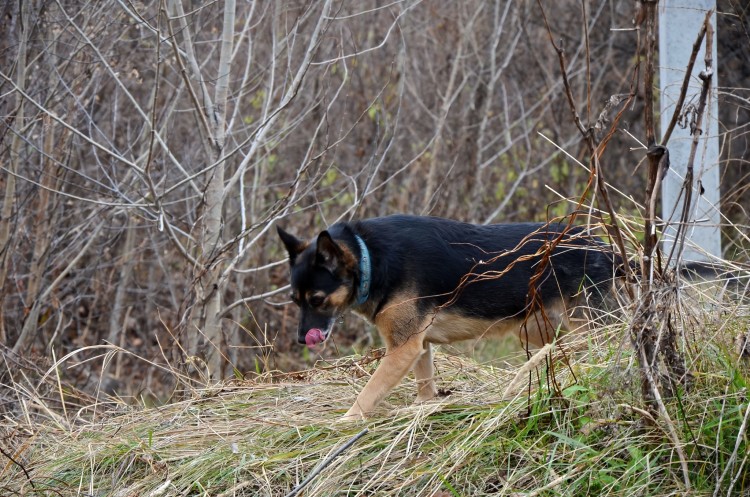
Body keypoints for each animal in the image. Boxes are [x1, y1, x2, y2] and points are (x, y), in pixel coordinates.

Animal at [276, 214, 616, 418]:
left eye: (317, 300)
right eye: (295, 300)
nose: (301, 339)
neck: (370, 259)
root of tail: (606, 249)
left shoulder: (402, 349)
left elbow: (367, 394)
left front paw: (345, 421)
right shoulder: (418, 346)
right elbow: (424, 385)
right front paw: (424, 409)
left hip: (586, 327)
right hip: (537, 328)